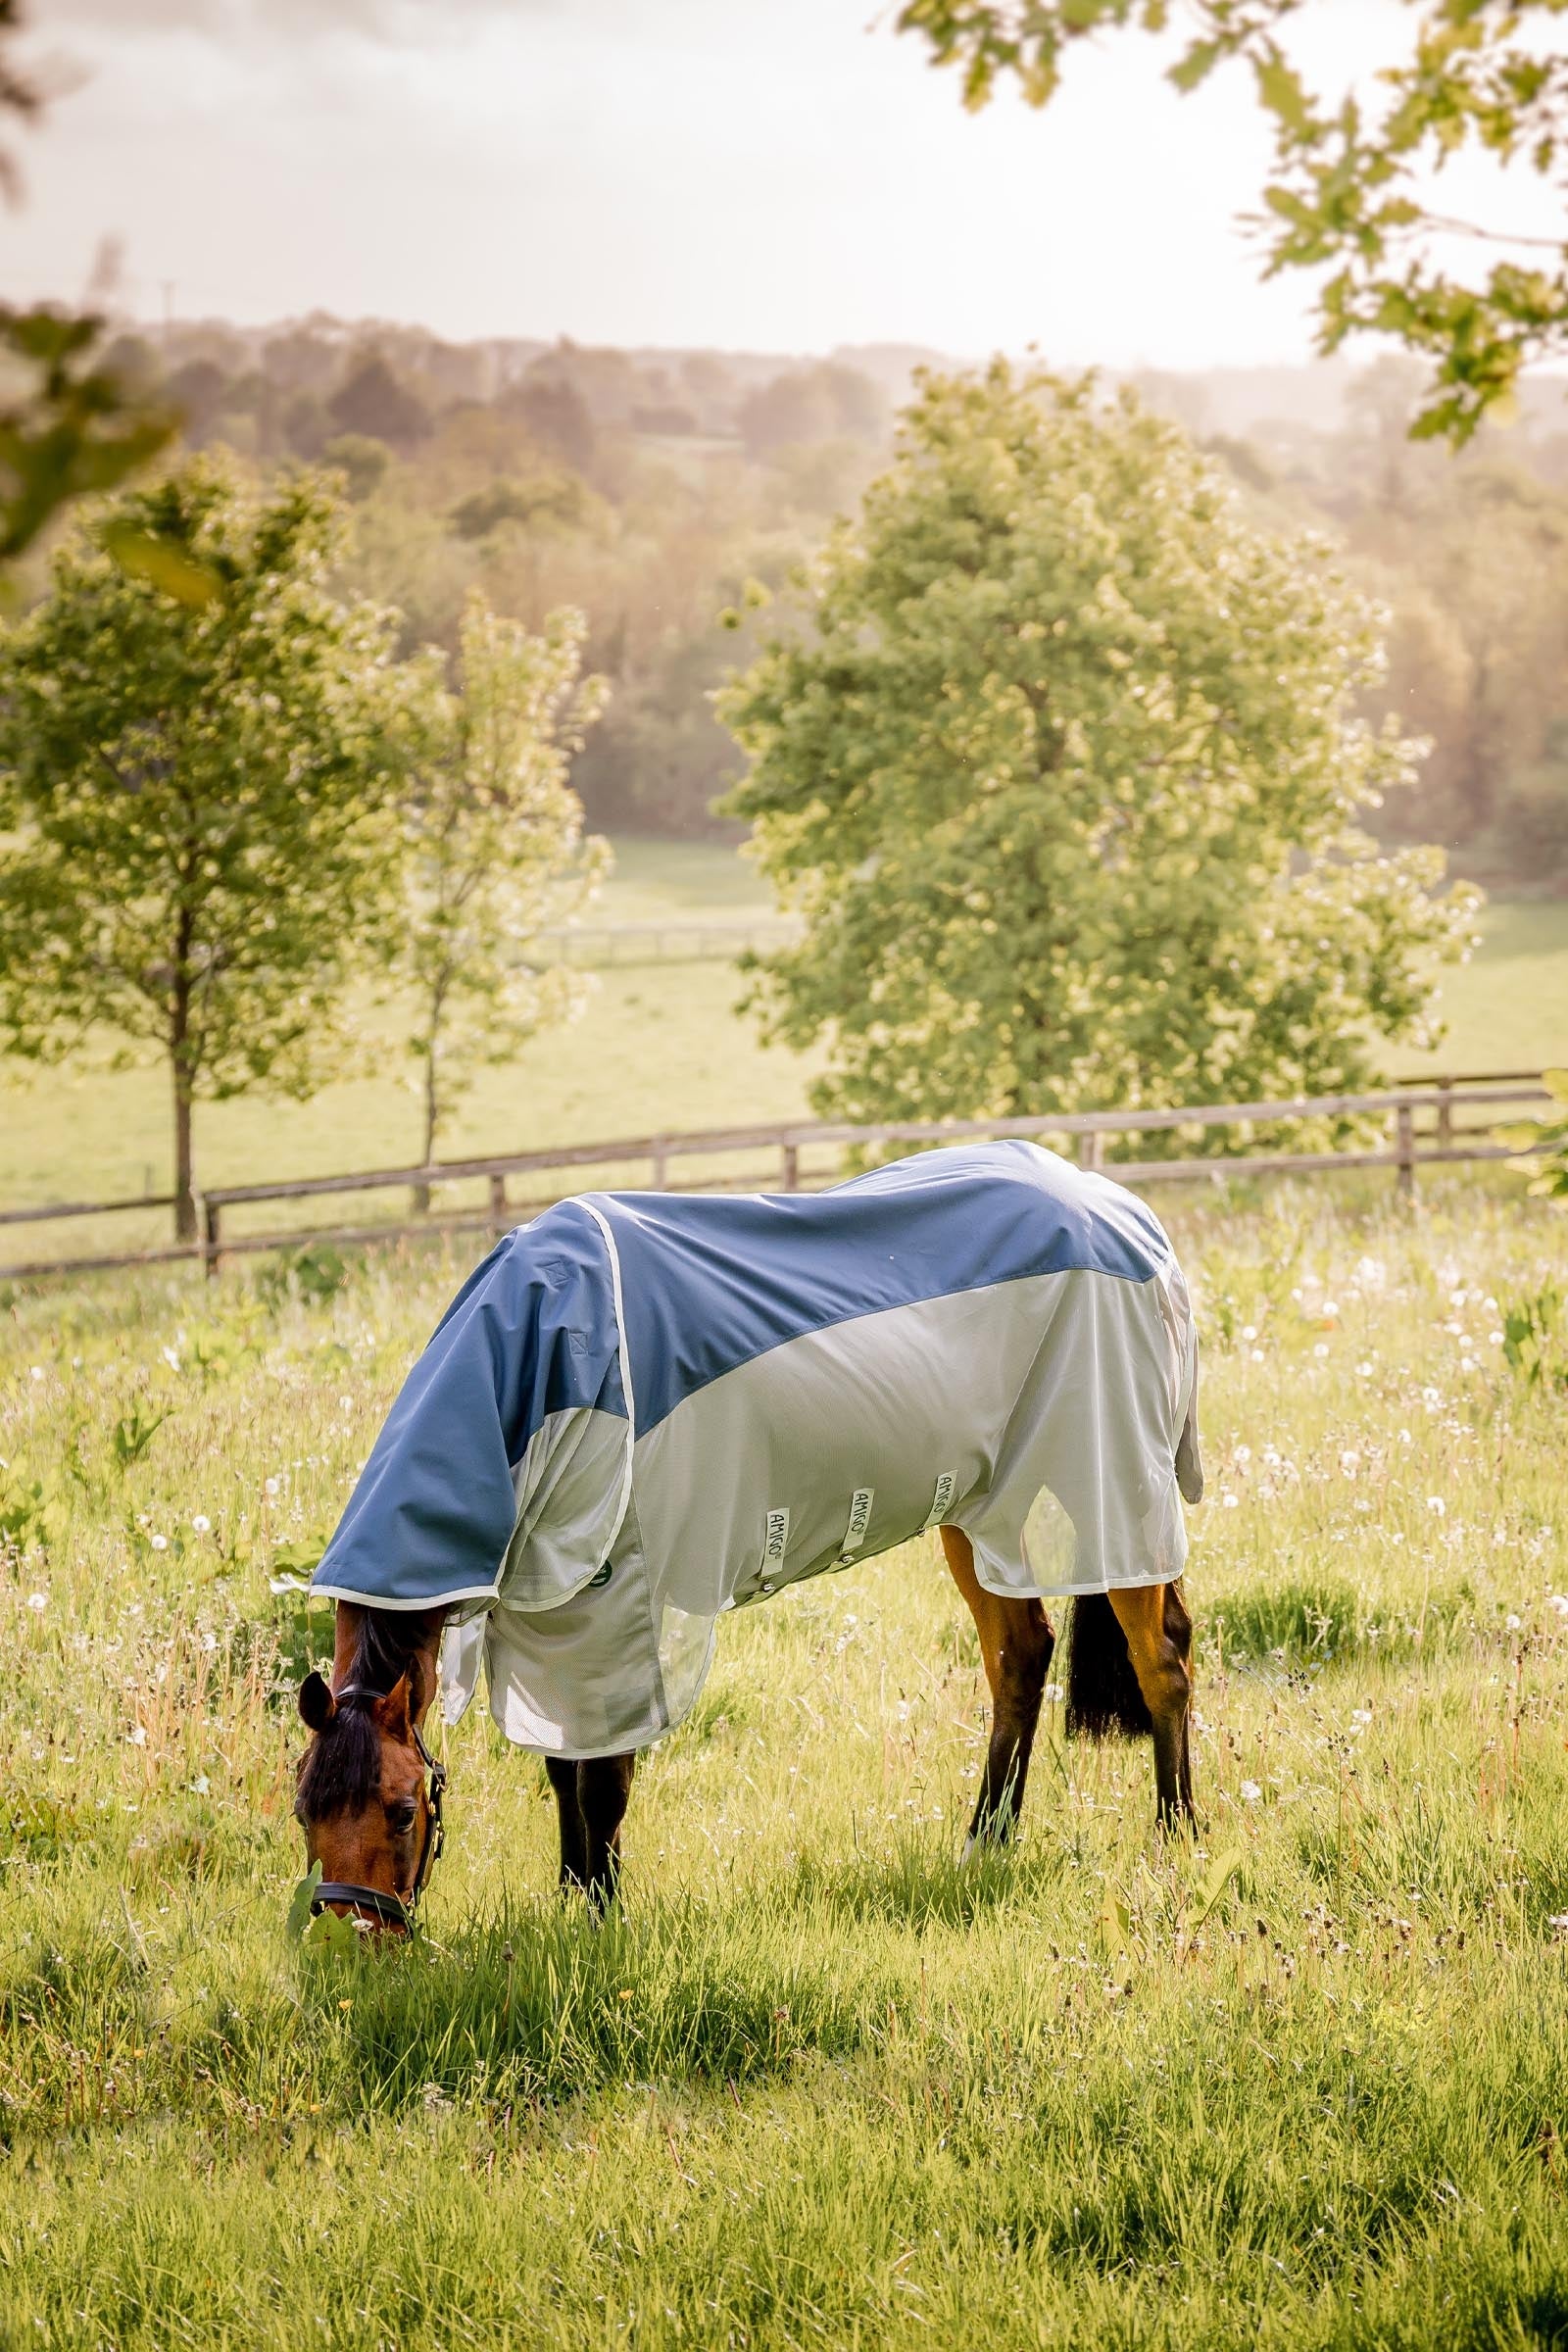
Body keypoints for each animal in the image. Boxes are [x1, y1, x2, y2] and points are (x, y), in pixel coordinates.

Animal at [292, 1140, 1203, 1931]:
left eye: (401, 1810)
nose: (350, 1938)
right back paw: (986, 1842)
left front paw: (601, 1922)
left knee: (1161, 1658)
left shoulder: (623, 1610)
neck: (546, 1359)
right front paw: (572, 1898)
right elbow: (563, 1771)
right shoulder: (551, 1615)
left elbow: (602, 1783)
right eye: (304, 1808)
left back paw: (1176, 1835)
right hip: (981, 1508)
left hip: (1110, 1483)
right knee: (1023, 1654)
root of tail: (1131, 1217)